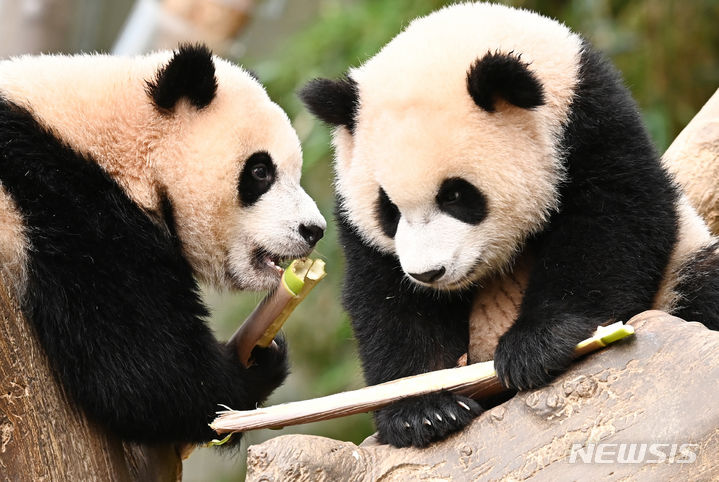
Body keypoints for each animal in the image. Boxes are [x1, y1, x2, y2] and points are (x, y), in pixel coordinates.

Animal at [300, 2, 719, 448]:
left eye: (456, 195)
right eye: (389, 210)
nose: (429, 273)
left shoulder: (590, 124)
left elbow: (613, 225)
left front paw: (535, 347)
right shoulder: (356, 218)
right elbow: (387, 301)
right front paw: (423, 411)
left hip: (681, 270)